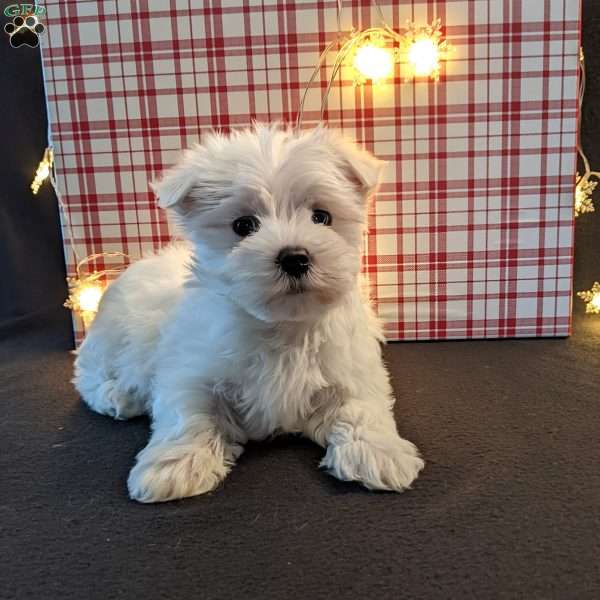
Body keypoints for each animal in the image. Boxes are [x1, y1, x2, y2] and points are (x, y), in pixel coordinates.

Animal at [74, 124, 422, 504]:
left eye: (322, 217)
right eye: (243, 225)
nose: (295, 258)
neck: (283, 325)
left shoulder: (352, 370)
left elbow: (362, 408)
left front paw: (378, 452)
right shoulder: (190, 369)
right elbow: (189, 414)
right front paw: (175, 465)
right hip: (112, 337)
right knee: (89, 373)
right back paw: (117, 395)